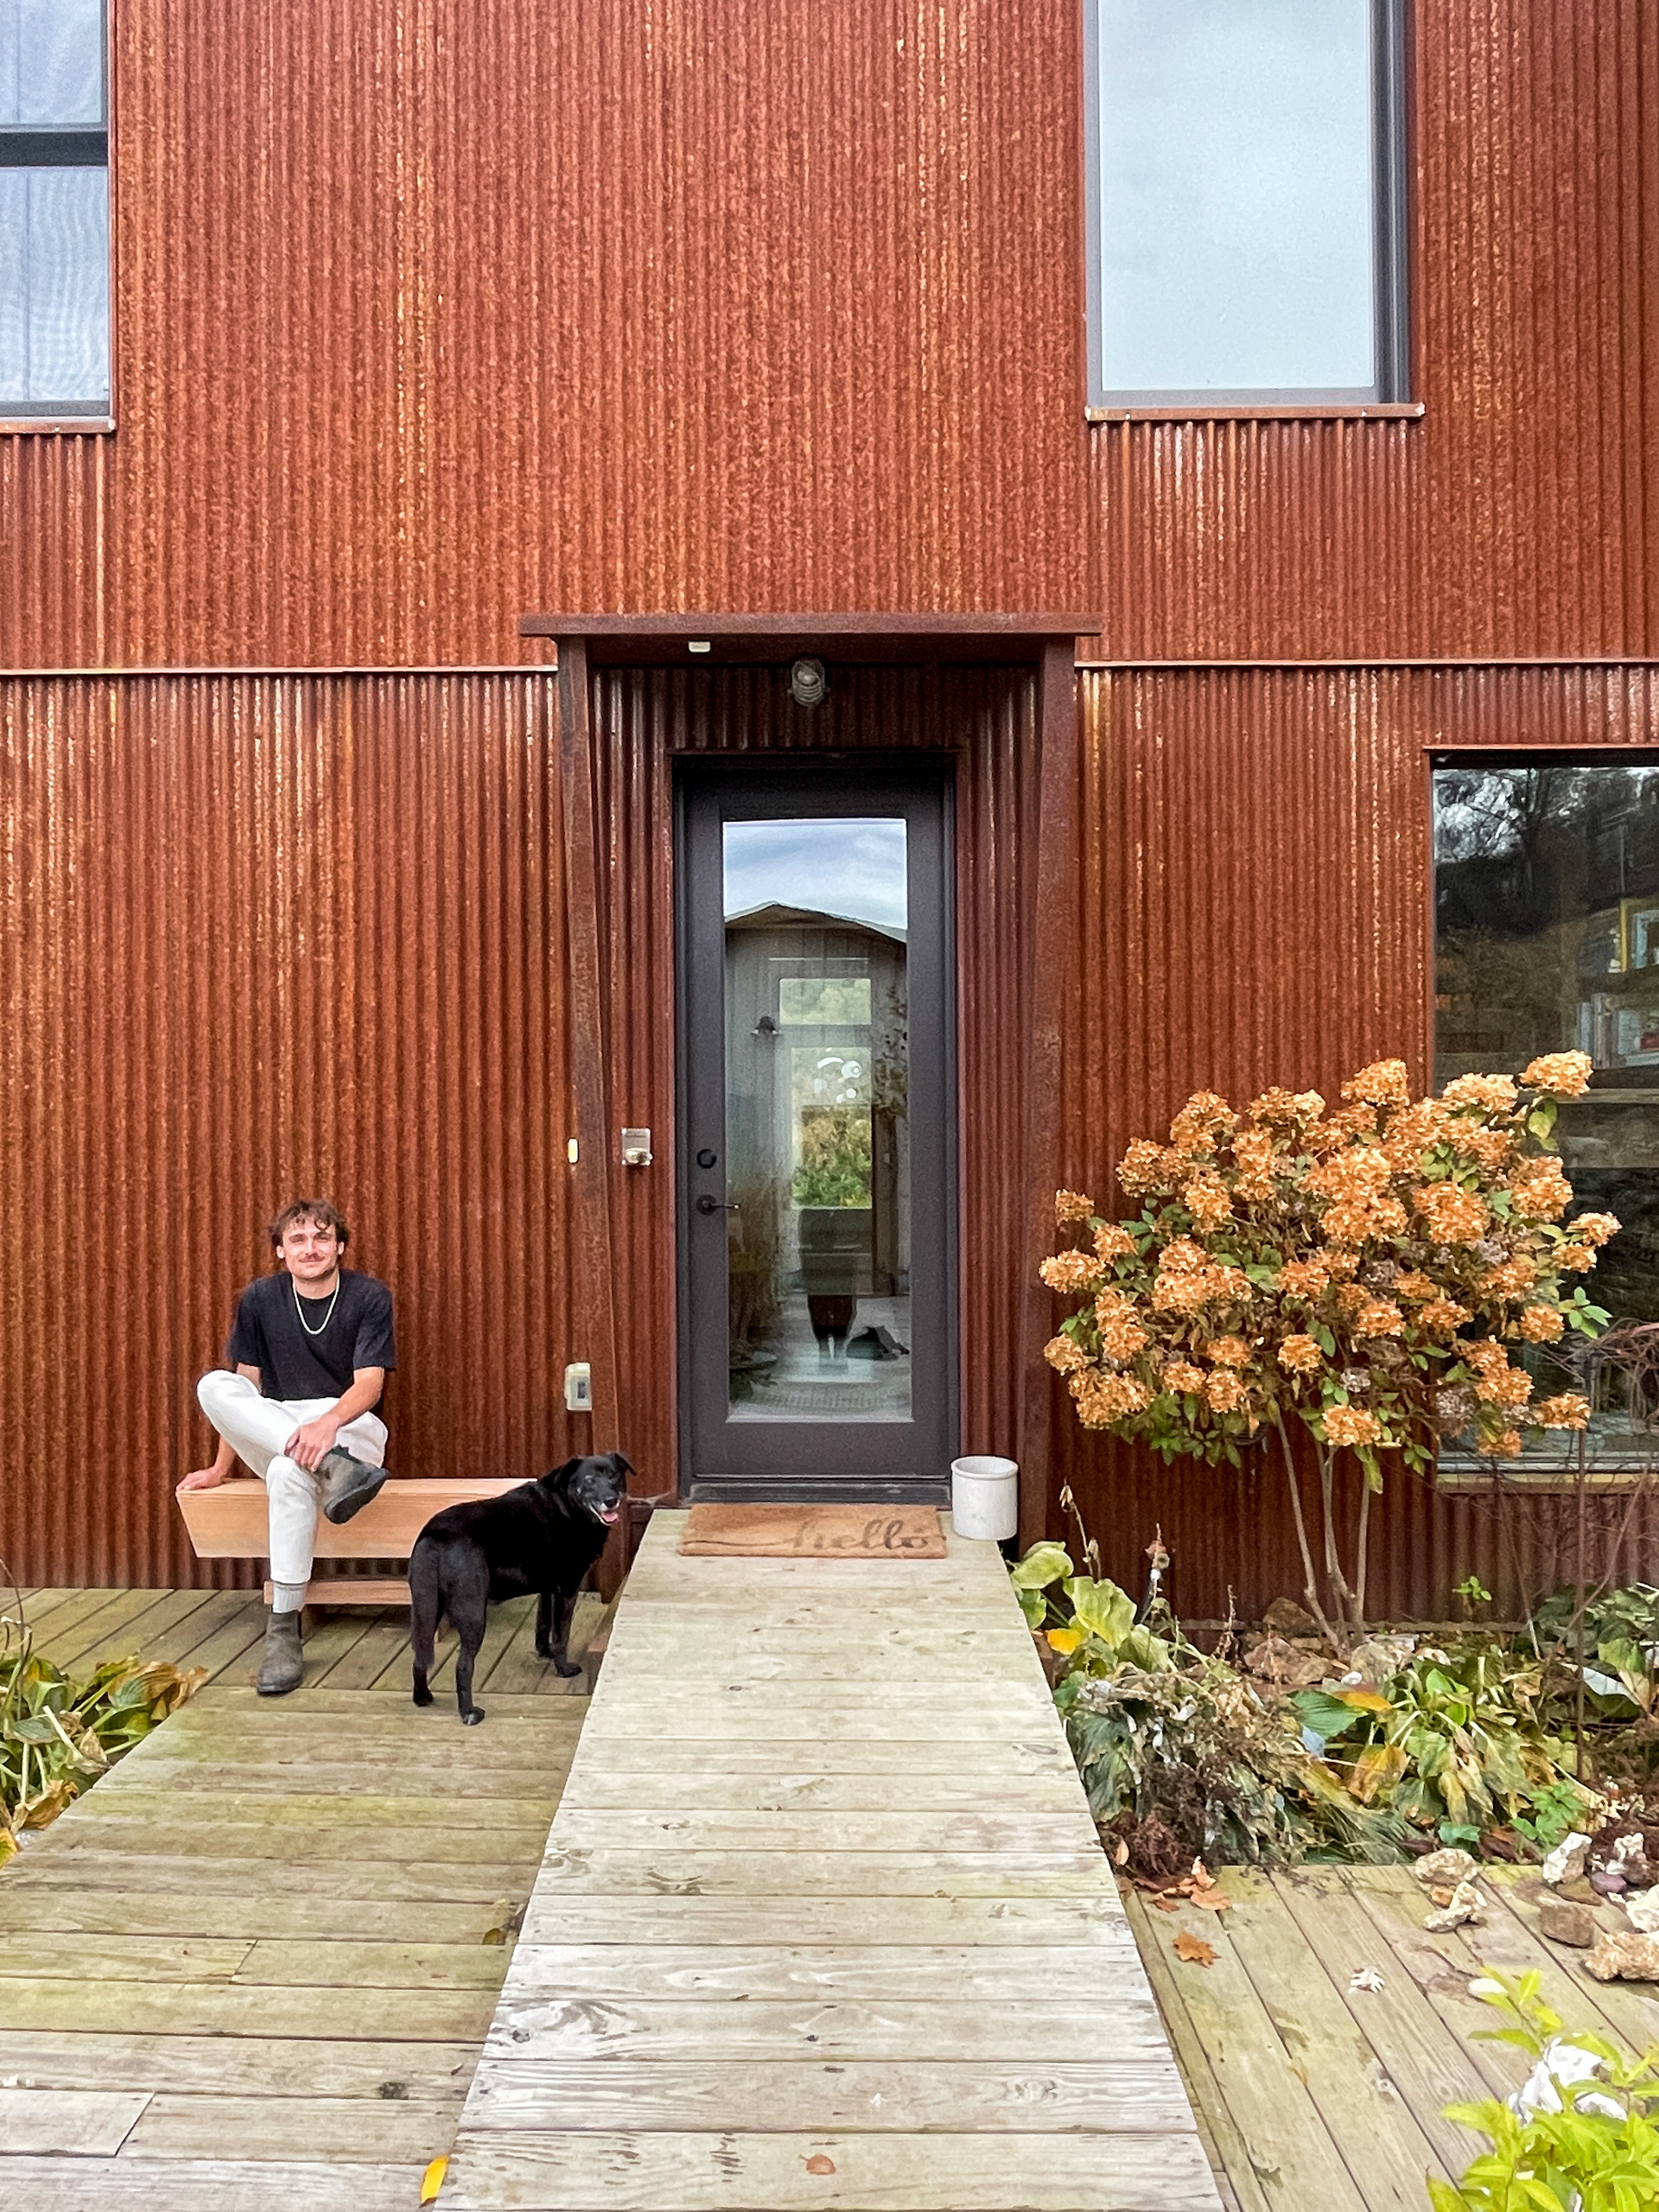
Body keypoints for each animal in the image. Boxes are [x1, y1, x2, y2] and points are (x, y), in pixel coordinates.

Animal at [409, 1453, 632, 1724]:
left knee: (419, 1656)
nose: (611, 1500)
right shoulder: (568, 1588)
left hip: (427, 1609)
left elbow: (543, 1624)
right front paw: (564, 1669)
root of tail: (435, 1535)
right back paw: (469, 1712)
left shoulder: (547, 1589)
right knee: (463, 1666)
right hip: (473, 1613)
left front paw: (545, 1653)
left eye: (614, 1475)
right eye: (589, 1479)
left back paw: (422, 1697)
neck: (565, 1505)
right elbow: (562, 1635)